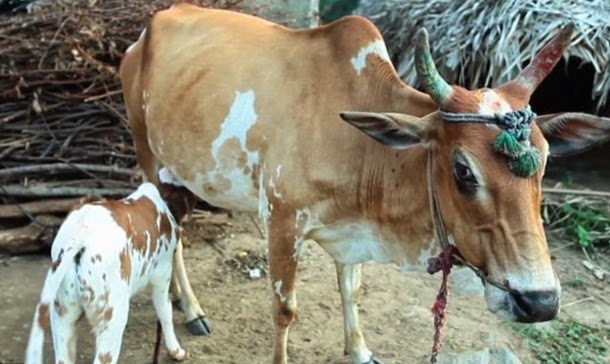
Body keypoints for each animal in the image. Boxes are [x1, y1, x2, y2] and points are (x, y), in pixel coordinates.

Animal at [24, 169, 202, 364]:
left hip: (62, 314)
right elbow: (165, 312)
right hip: (113, 316)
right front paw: (176, 350)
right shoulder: (161, 277)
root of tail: (79, 237)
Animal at [119, 3, 608, 364]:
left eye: (544, 164)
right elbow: (284, 310)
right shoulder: (282, 221)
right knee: (172, 234)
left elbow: (351, 289)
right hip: (148, 155)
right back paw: (192, 308)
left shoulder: (351, 231)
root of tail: (151, 28)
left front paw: (359, 350)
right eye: (463, 170)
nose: (539, 301)